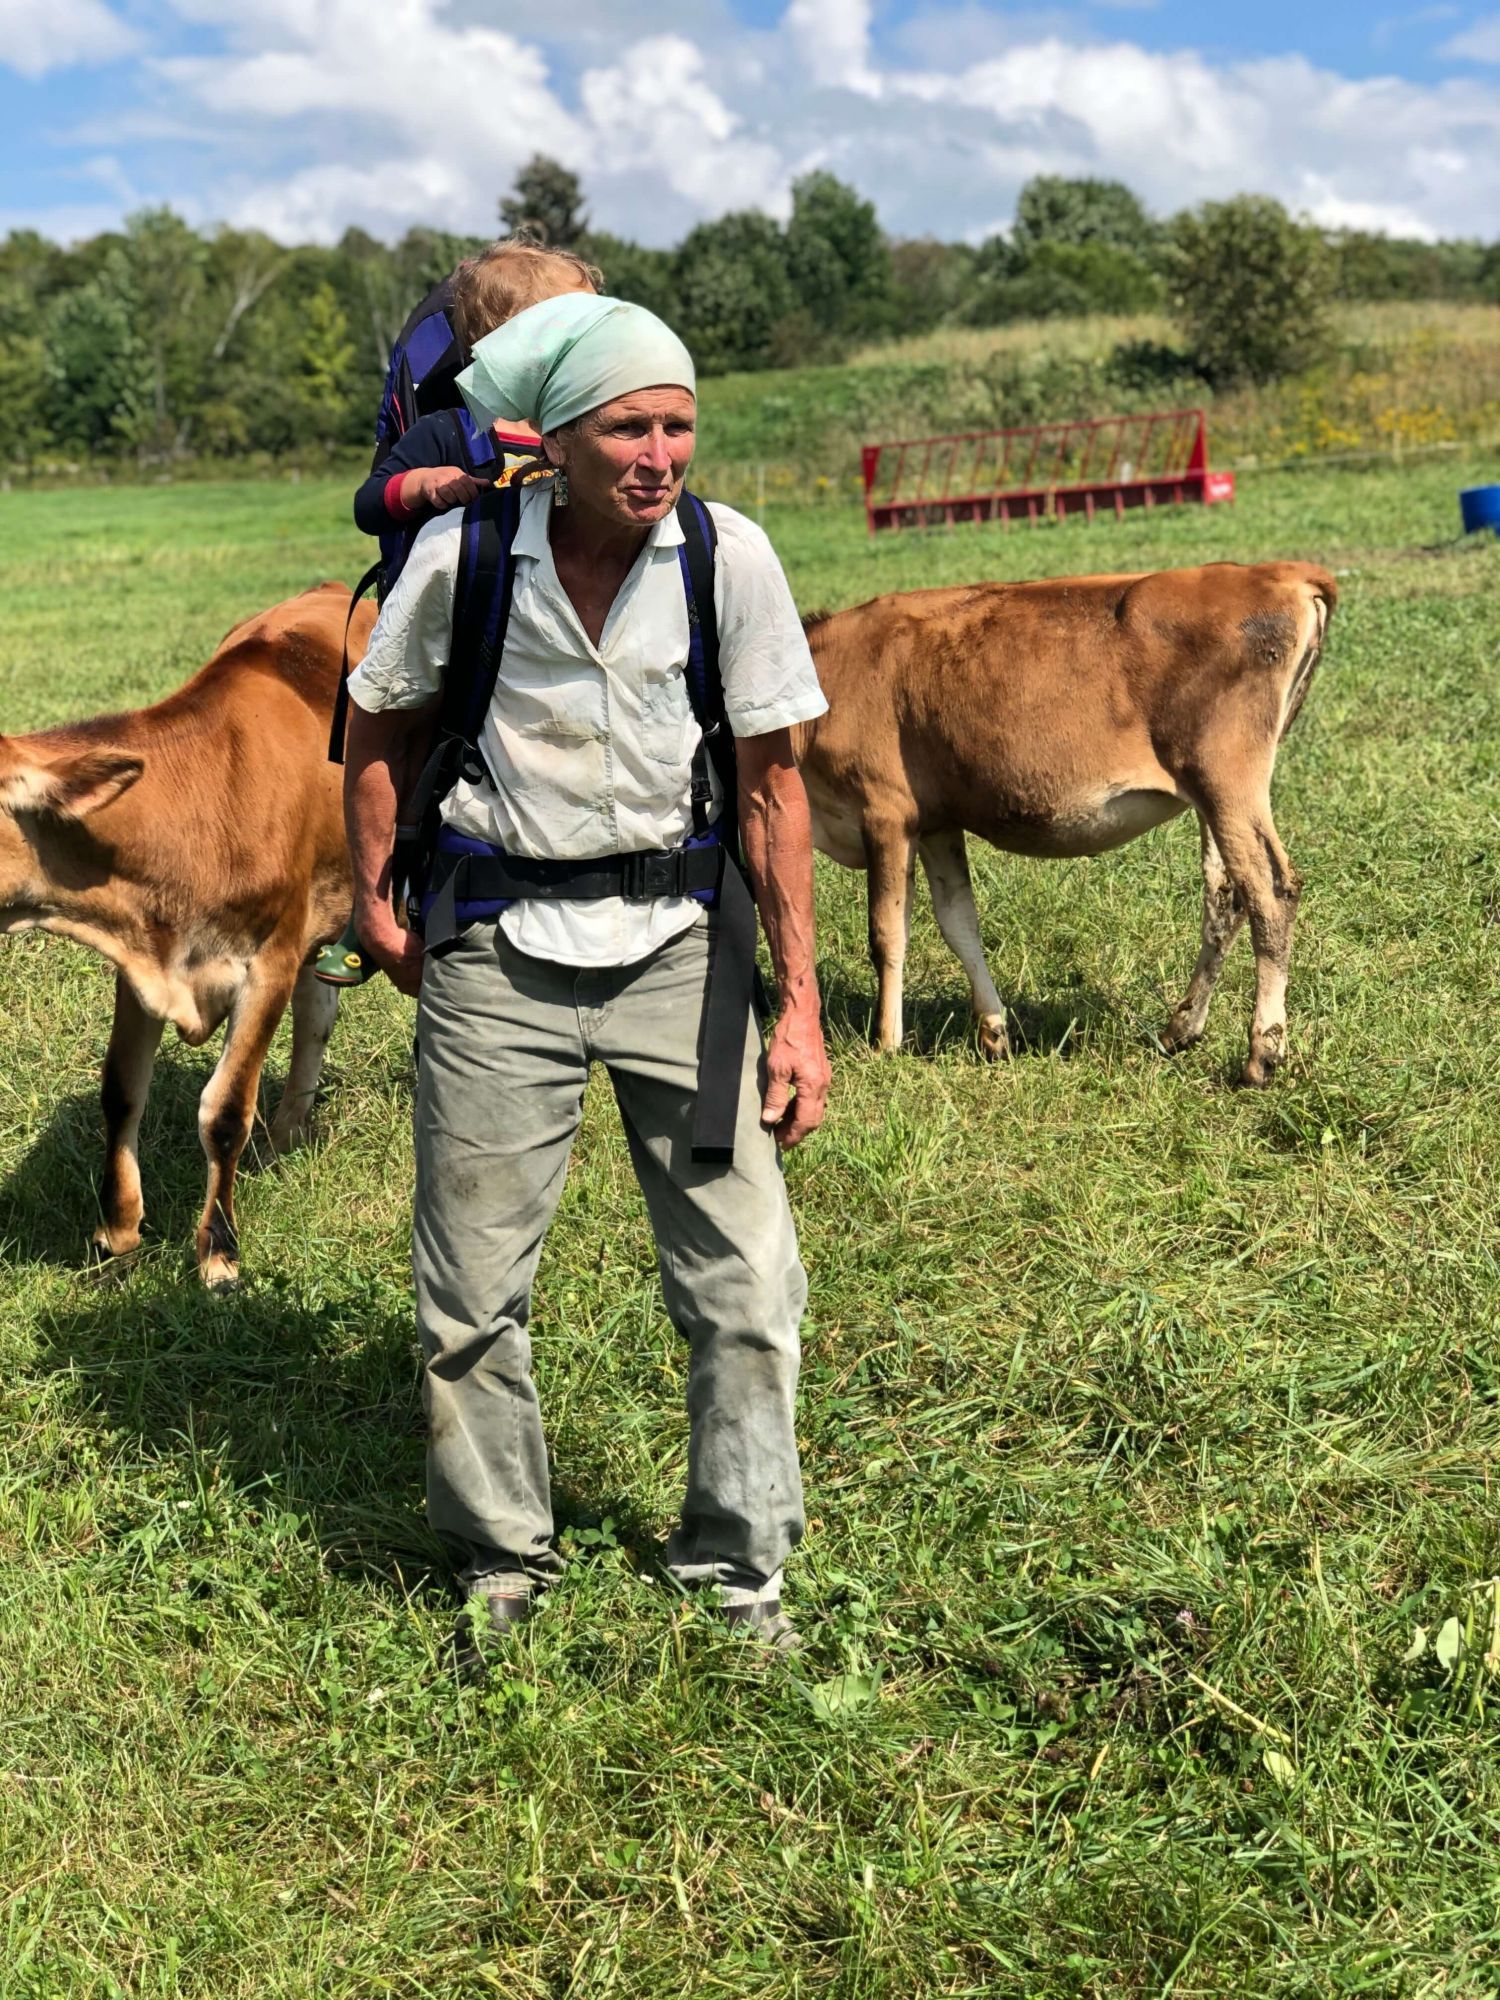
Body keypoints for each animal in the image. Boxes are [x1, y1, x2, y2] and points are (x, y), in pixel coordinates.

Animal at [2, 584, 368, 1288]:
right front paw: (117, 1231)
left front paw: (218, 1254)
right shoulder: (140, 962)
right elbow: (121, 1091)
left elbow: (223, 1112)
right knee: (318, 1012)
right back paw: (287, 1133)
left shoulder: (270, 960)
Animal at [800, 556, 1336, 1088]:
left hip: (1226, 781)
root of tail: (1276, 571)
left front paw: (885, 1045)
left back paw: (1261, 1055)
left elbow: (887, 933)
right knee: (1225, 899)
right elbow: (959, 923)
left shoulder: (885, 810)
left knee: (1271, 893)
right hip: (1215, 798)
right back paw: (1179, 1030)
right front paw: (994, 1035)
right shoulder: (936, 822)